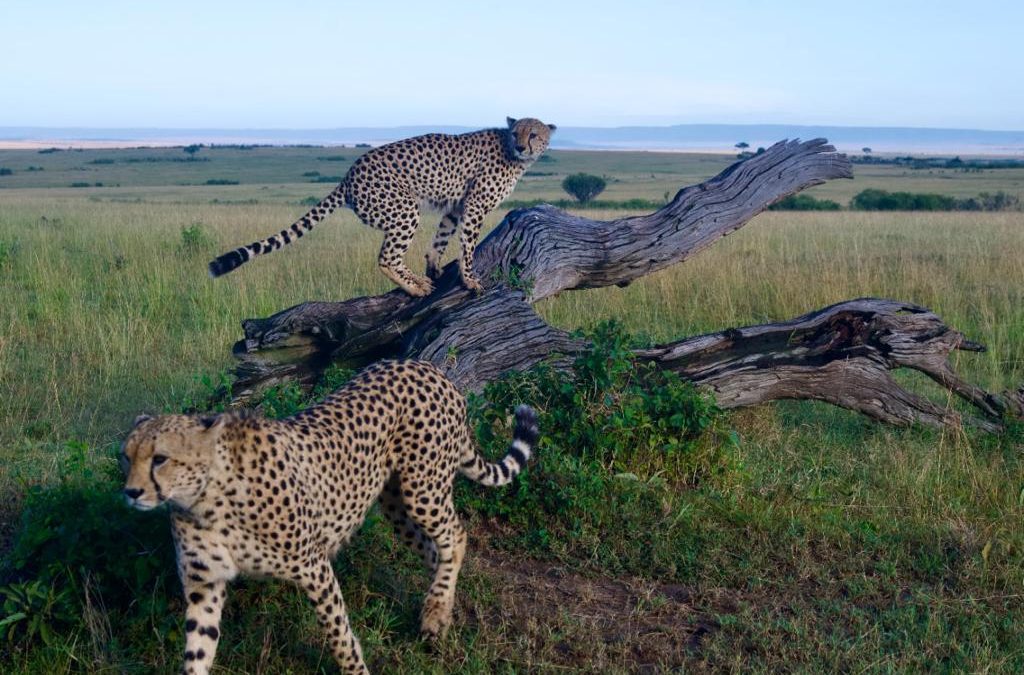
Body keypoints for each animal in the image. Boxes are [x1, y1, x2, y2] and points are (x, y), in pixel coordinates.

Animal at [119, 362, 540, 675]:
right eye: (127, 456)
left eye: (160, 458)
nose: (131, 492)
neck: (204, 500)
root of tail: (426, 367)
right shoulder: (204, 585)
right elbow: (198, 652)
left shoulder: (314, 568)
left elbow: (340, 637)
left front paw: (356, 670)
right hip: (396, 504)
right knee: (434, 550)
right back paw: (438, 609)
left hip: (423, 489)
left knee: (456, 536)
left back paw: (436, 611)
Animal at [207, 118, 557, 294]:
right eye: (516, 132)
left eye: (533, 133)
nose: (522, 145)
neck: (513, 156)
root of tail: (349, 174)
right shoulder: (474, 206)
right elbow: (467, 246)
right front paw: (469, 279)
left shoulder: (457, 206)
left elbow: (441, 238)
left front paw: (434, 265)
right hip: (405, 209)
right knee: (386, 257)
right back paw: (415, 287)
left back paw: (419, 280)